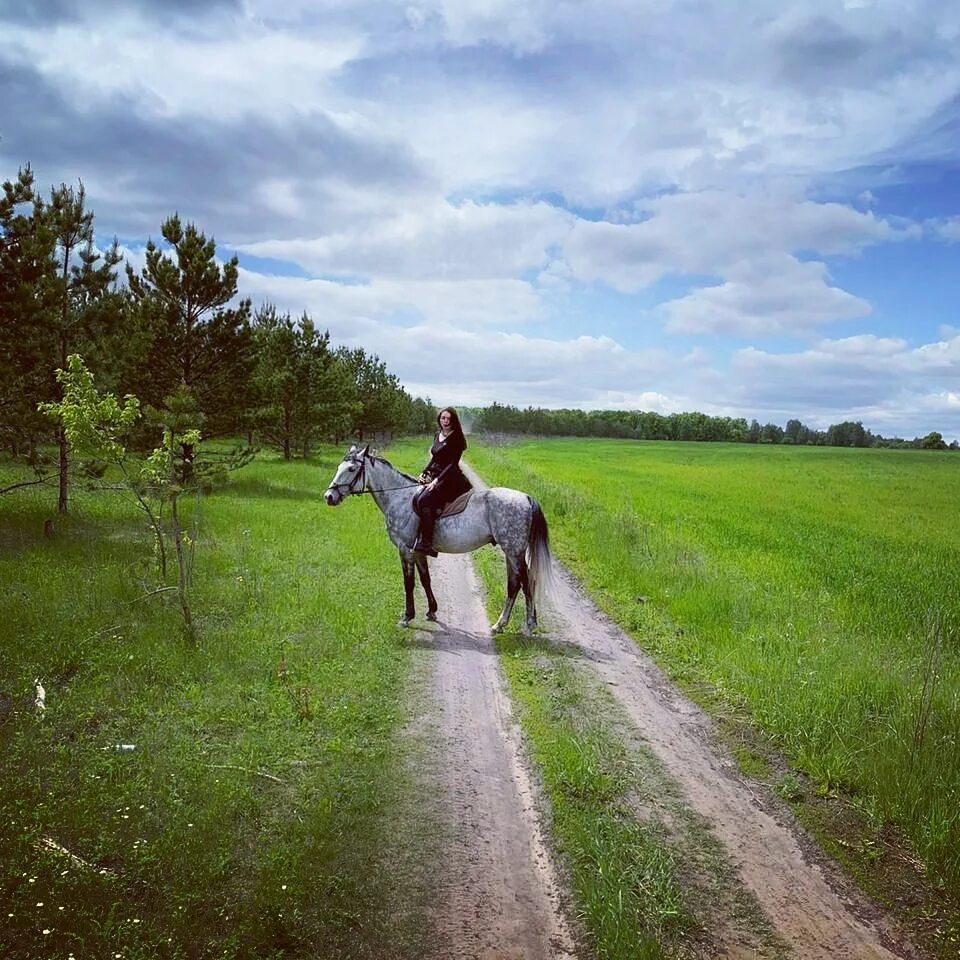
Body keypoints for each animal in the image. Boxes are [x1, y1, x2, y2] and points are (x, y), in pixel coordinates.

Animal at [324, 444, 556, 636]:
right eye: (339, 466)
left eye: (351, 469)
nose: (329, 497)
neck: (401, 499)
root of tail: (526, 498)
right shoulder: (418, 551)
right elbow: (425, 579)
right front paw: (432, 612)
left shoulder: (405, 549)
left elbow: (409, 582)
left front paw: (407, 617)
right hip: (511, 552)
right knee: (514, 584)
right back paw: (500, 624)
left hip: (514, 551)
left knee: (526, 583)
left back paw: (529, 626)